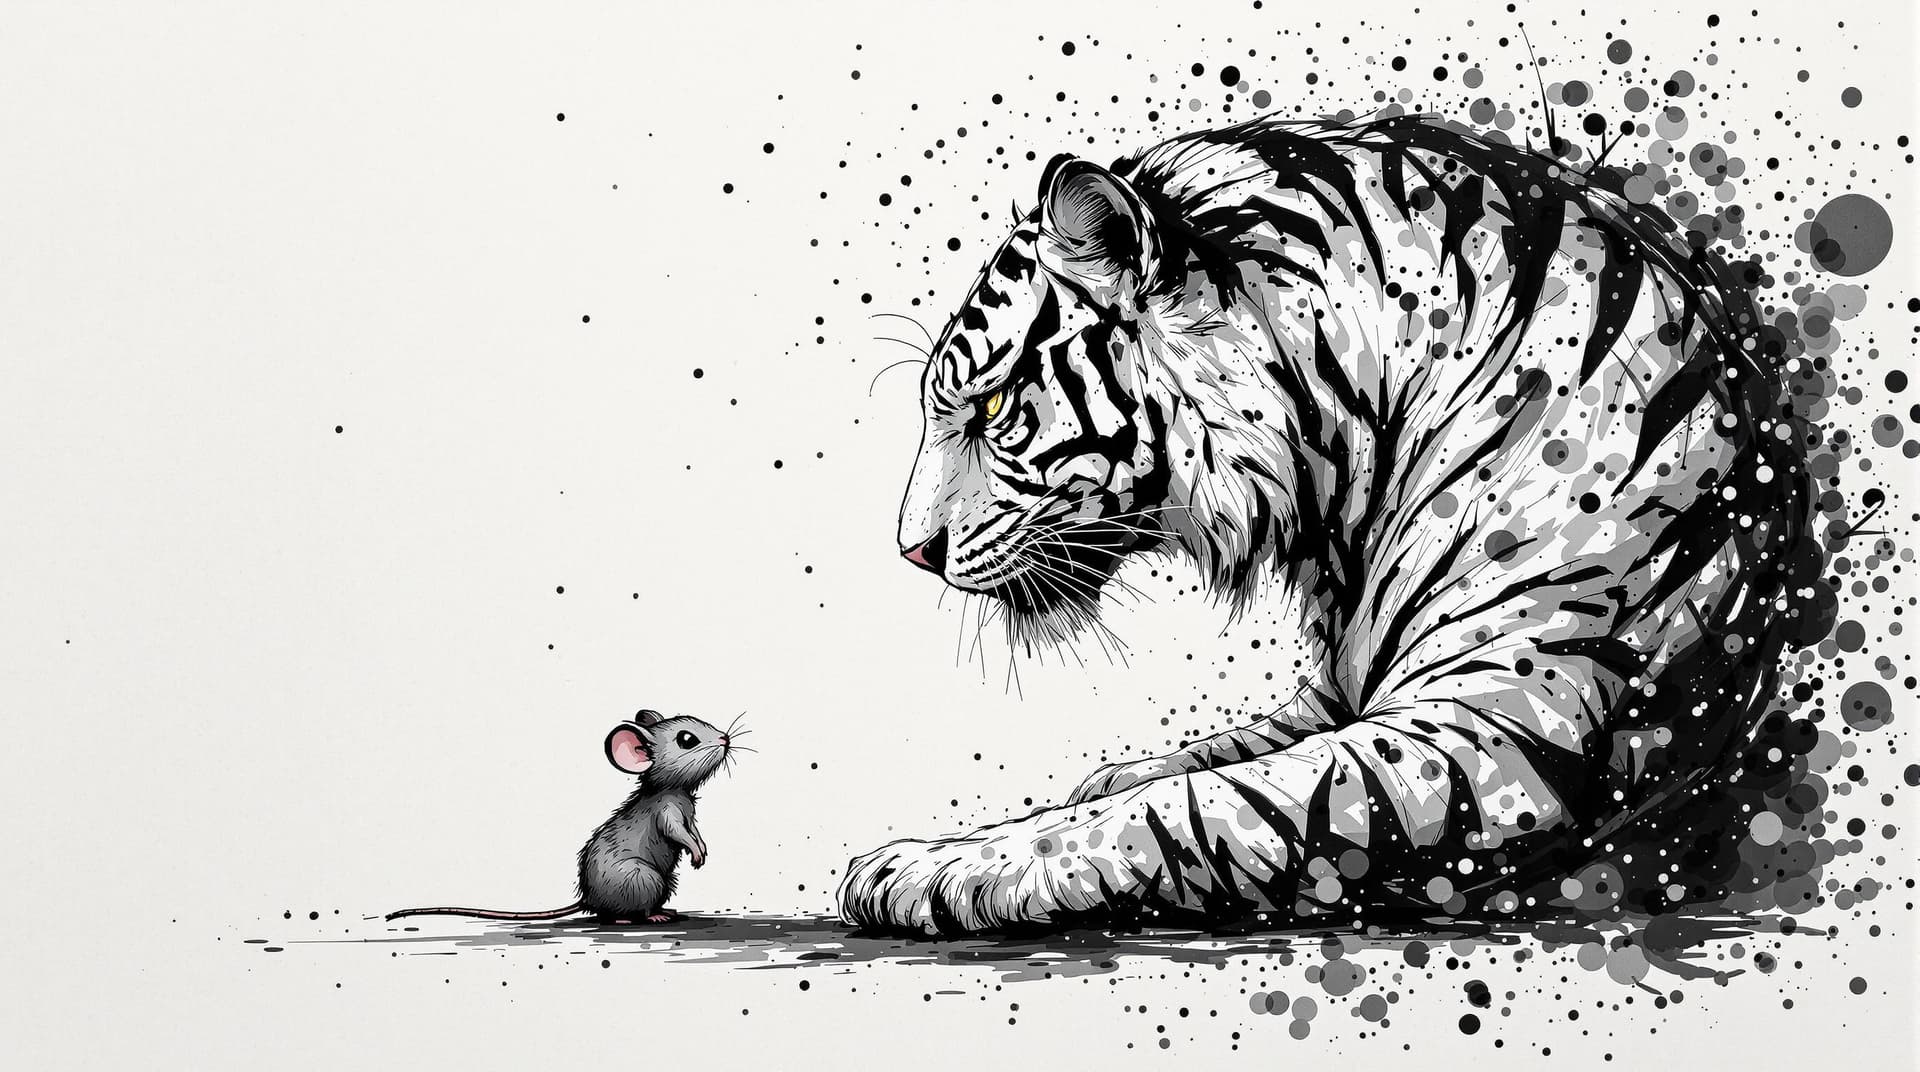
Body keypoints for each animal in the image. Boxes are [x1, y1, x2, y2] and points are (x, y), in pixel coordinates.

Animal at [837, 113, 1822, 936]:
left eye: (992, 405)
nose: (912, 551)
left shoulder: (1497, 727)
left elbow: (1199, 806)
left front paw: (928, 868)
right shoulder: (1349, 691)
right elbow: (1210, 760)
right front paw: (1105, 774)